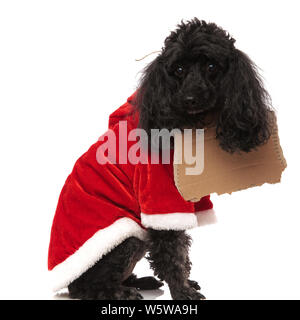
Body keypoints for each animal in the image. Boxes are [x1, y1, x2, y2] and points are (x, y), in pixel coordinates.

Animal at [48, 17, 272, 298]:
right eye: (178, 69)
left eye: (211, 66)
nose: (190, 98)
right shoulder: (160, 197)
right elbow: (172, 253)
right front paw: (183, 291)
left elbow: (181, 251)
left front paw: (187, 283)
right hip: (125, 240)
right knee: (90, 287)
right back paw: (120, 292)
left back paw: (140, 281)